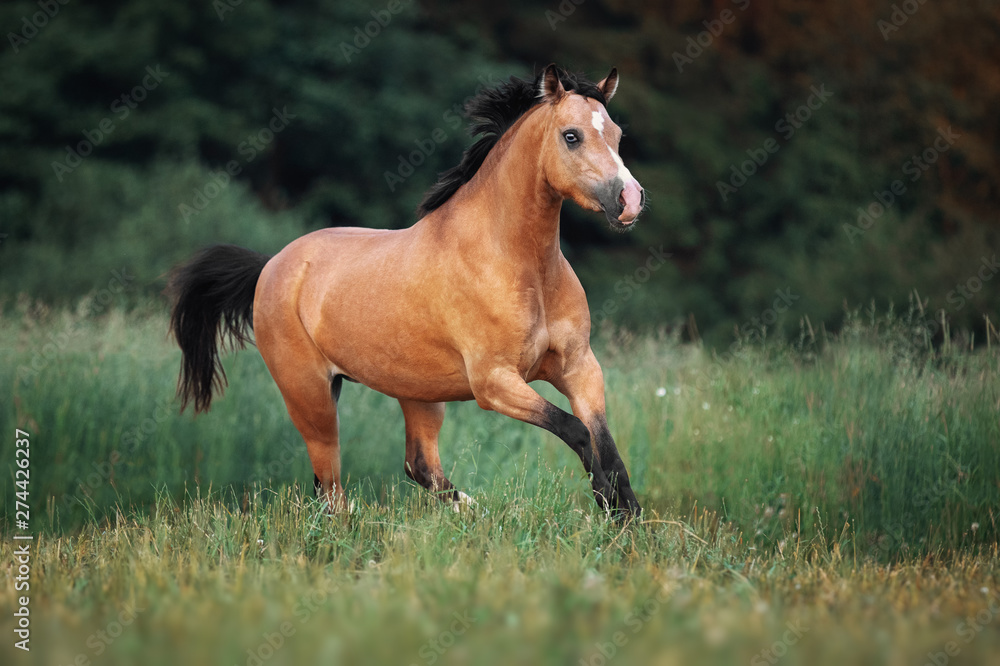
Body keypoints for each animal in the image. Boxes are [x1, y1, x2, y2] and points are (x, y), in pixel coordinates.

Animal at [167, 63, 644, 520]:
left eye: (618, 134)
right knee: (332, 487)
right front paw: (607, 508)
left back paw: (472, 511)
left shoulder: (579, 367)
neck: (523, 265)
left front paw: (631, 521)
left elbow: (608, 446)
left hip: (417, 395)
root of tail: (271, 266)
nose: (631, 201)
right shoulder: (494, 382)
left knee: (415, 466)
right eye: (571, 136)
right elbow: (577, 432)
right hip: (309, 395)